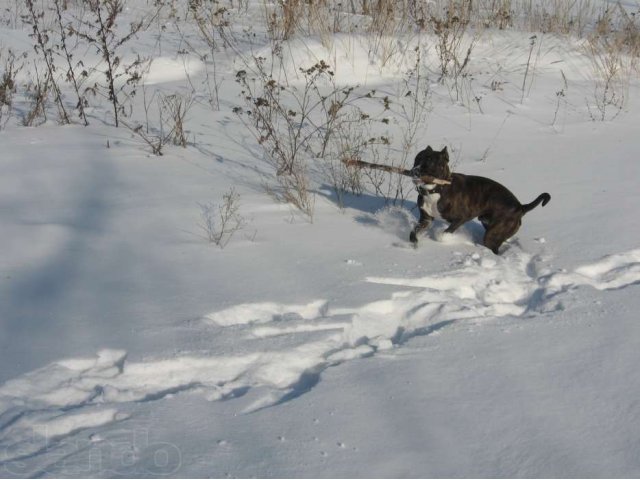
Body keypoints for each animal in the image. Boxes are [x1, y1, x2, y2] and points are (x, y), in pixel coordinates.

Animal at [410, 146, 552, 255]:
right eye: (416, 159)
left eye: (430, 162)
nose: (414, 171)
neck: (437, 189)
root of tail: (520, 207)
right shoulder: (425, 219)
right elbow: (414, 231)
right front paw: (414, 243)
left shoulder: (462, 218)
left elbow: (446, 232)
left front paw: (443, 238)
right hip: (489, 224)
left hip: (493, 233)